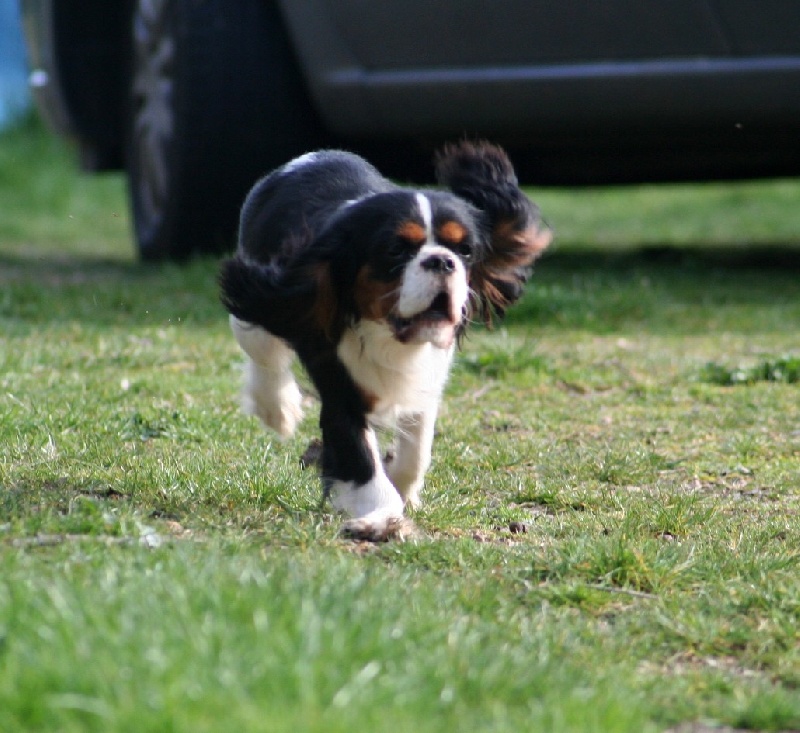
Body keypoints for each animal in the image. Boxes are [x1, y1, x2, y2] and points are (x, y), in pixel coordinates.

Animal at [222, 142, 552, 536]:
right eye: (396, 250)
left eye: (465, 250)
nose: (441, 261)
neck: (393, 337)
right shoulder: (342, 393)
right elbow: (361, 460)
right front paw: (381, 516)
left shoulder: (427, 378)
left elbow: (418, 446)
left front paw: (403, 485)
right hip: (261, 308)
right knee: (262, 351)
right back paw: (278, 409)